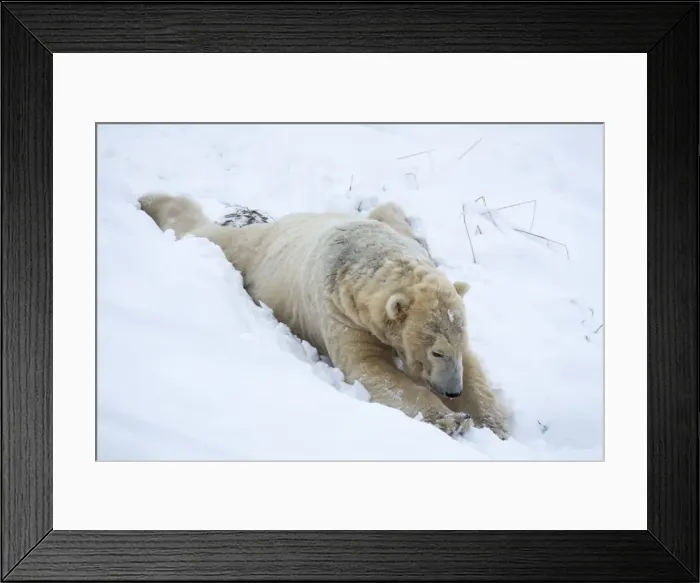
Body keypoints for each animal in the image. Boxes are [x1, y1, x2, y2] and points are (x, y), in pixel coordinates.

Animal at [137, 194, 510, 440]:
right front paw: (451, 420)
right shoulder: (340, 310)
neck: (364, 256)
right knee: (209, 235)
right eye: (436, 351)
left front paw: (494, 422)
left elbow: (475, 369)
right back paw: (154, 202)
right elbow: (371, 369)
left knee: (390, 211)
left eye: (458, 344)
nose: (452, 391)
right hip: (248, 254)